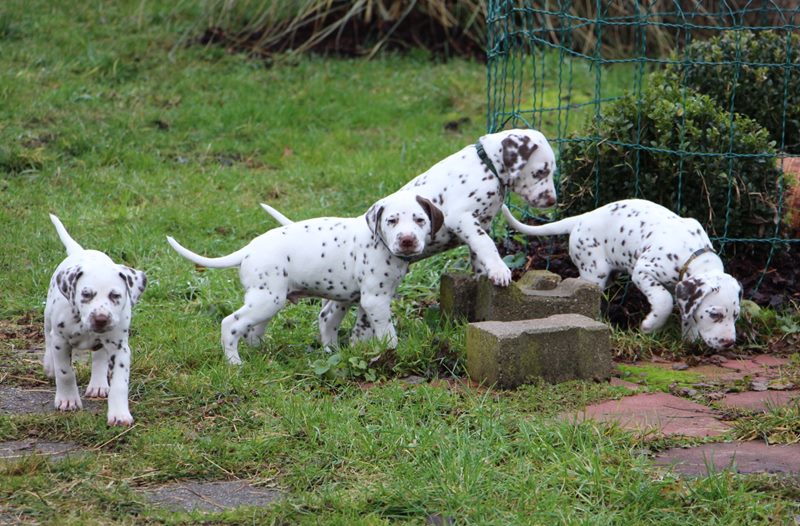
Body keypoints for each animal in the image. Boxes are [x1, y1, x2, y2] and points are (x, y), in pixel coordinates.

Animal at [43, 215, 147, 426]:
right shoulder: (61, 341)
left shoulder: (120, 348)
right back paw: (49, 364)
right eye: (86, 294)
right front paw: (68, 400)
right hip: (48, 317)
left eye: (115, 295)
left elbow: (119, 383)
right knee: (47, 336)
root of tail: (81, 251)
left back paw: (98, 384)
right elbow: (65, 372)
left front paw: (119, 414)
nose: (101, 319)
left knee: (99, 357)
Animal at [167, 191, 443, 364]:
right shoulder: (376, 299)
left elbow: (362, 328)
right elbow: (387, 333)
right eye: (392, 221)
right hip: (267, 300)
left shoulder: (372, 299)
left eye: (420, 220)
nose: (407, 240)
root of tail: (248, 249)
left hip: (268, 301)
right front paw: (393, 353)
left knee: (252, 331)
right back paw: (234, 362)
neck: (380, 242)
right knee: (230, 324)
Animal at [502, 199, 742, 349]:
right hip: (595, 271)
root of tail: (580, 219)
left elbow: (687, 310)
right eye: (715, 314)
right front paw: (651, 325)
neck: (692, 252)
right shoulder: (643, 270)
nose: (729, 342)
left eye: (736, 316)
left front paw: (689, 339)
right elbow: (663, 300)